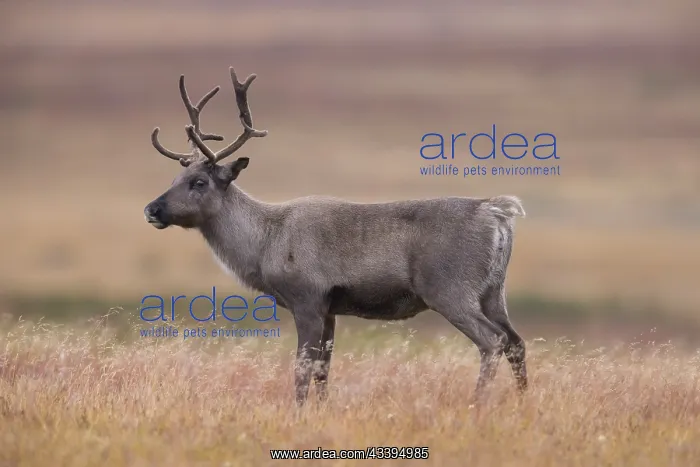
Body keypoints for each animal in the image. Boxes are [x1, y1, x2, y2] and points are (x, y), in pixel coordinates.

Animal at [144, 66, 528, 406]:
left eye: (199, 182)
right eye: (175, 178)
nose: (152, 209)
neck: (264, 244)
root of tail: (498, 212)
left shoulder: (308, 298)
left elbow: (302, 369)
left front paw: (298, 414)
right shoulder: (330, 308)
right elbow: (322, 371)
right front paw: (320, 411)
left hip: (450, 288)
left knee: (493, 340)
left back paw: (478, 404)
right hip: (494, 290)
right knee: (516, 341)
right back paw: (523, 403)